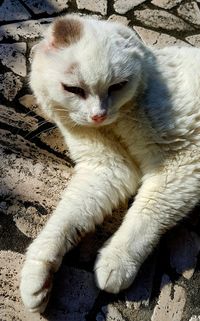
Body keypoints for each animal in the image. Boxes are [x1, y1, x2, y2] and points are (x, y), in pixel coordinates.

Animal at [19, 13, 200, 312]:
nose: (98, 115)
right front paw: (38, 274)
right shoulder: (107, 169)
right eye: (73, 89)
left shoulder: (182, 163)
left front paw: (117, 261)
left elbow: (146, 215)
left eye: (117, 86)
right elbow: (65, 220)